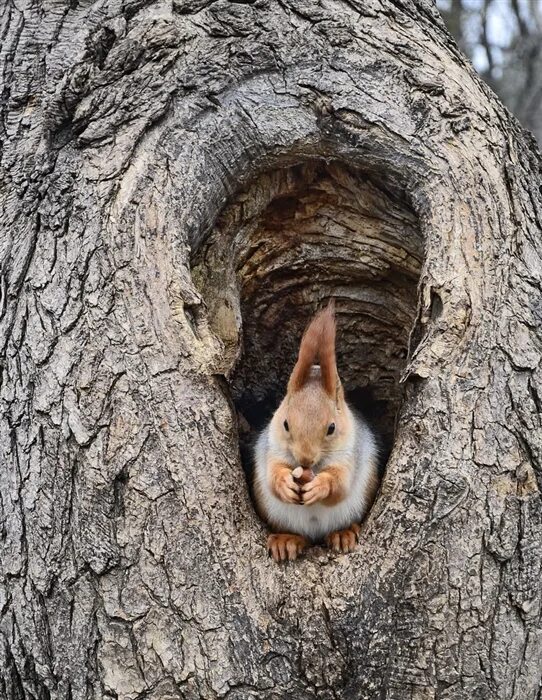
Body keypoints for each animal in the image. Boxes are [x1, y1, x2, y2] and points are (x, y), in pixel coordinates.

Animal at [253, 300, 380, 564]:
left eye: (331, 428)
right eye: (285, 424)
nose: (305, 459)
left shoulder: (352, 453)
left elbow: (340, 484)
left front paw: (320, 486)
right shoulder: (271, 447)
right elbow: (272, 474)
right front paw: (284, 482)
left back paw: (343, 533)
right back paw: (286, 540)